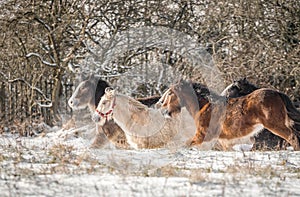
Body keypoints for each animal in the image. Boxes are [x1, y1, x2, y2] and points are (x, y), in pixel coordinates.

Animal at [157, 80, 300, 151]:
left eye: (170, 93)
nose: (161, 105)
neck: (204, 105)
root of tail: (277, 93)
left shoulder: (202, 135)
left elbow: (185, 144)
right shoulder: (224, 141)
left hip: (275, 125)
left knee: (292, 137)